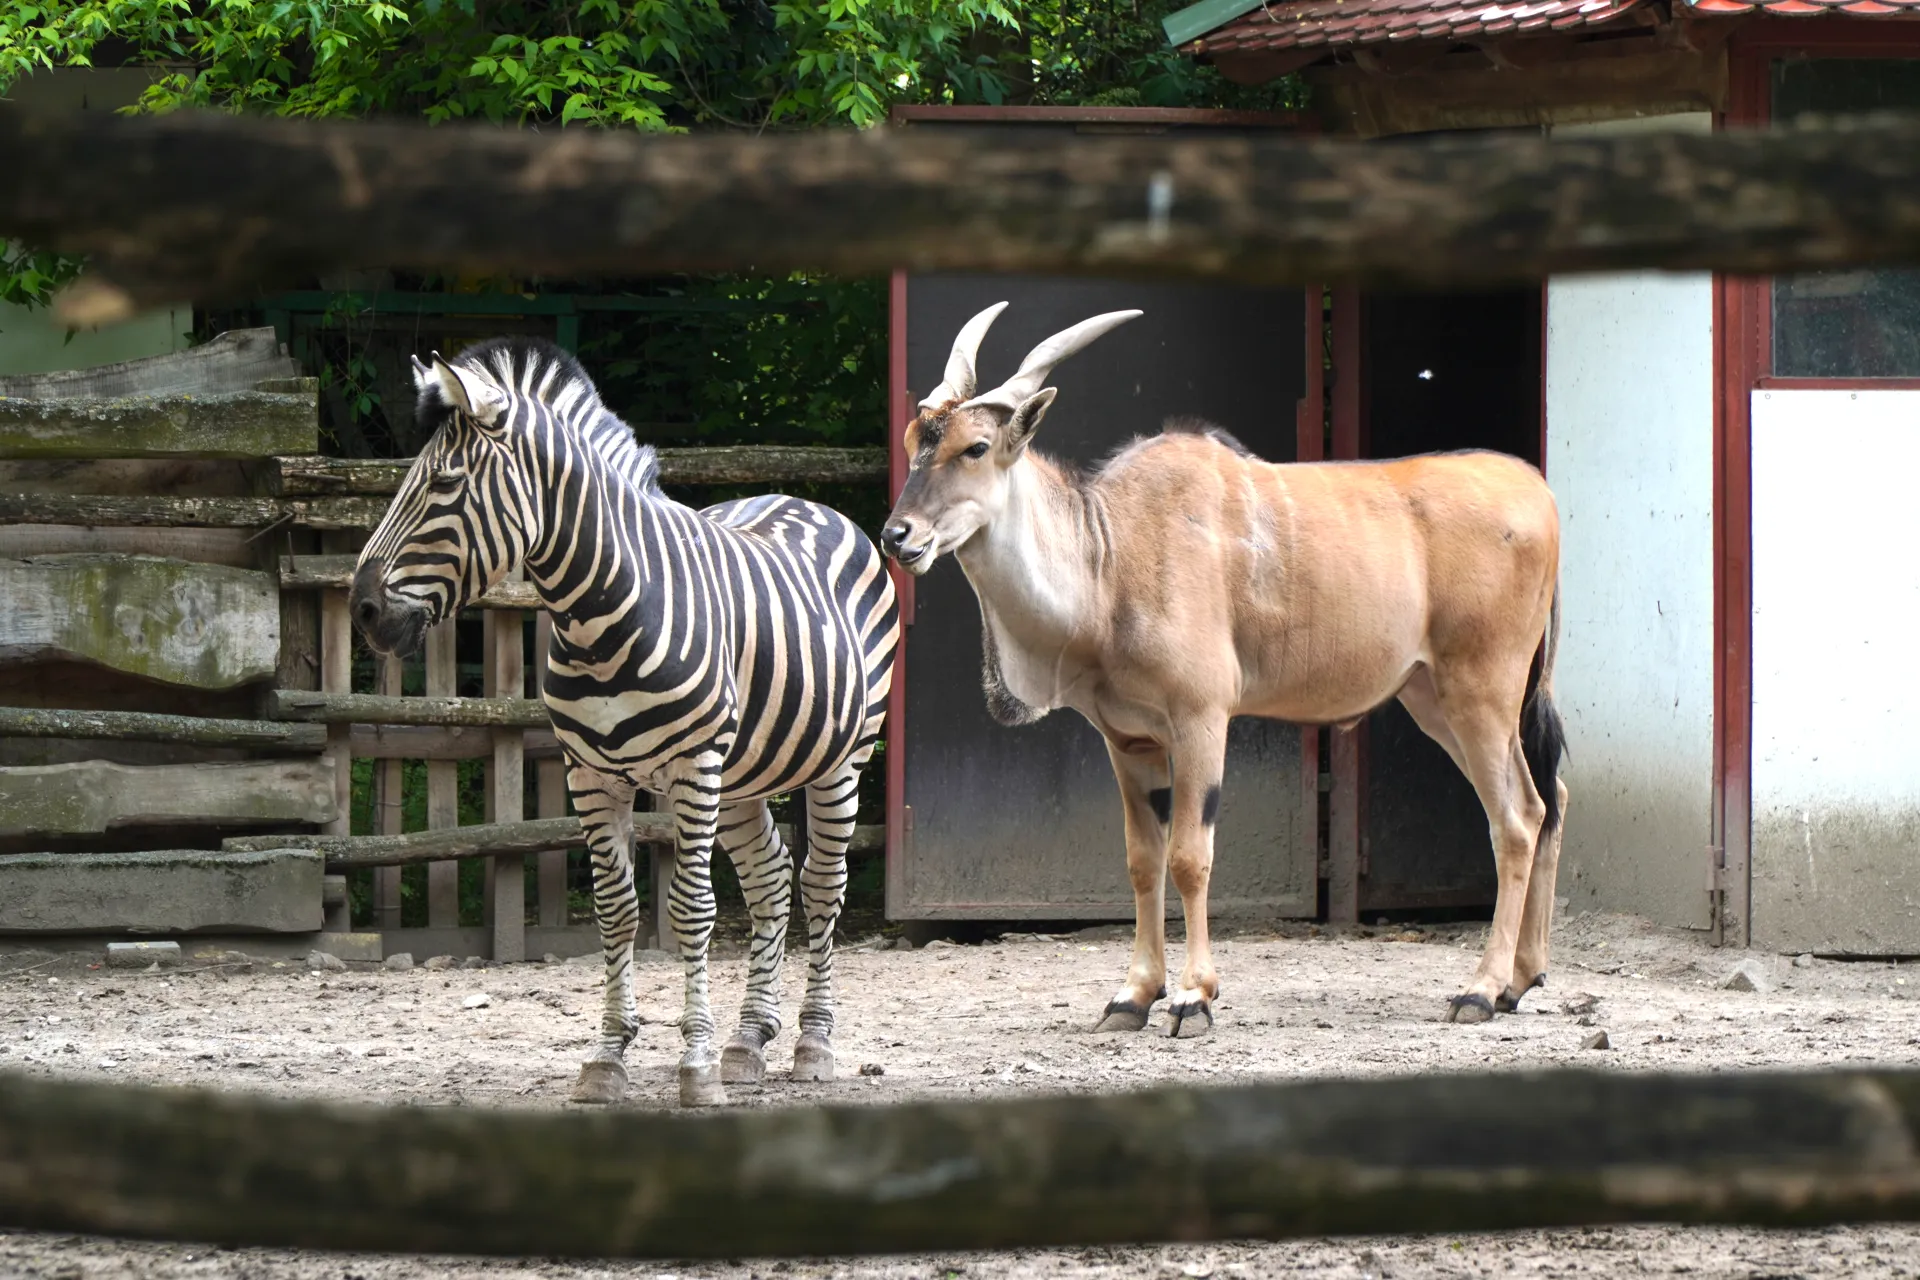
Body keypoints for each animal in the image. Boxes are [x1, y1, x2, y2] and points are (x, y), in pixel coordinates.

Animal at [350, 338, 899, 1108]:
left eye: (446, 485)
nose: (363, 610)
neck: (598, 615)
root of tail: (803, 499)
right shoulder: (590, 774)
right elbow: (617, 910)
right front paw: (609, 1058)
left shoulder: (693, 765)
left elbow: (691, 907)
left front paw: (694, 1066)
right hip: (744, 774)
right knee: (770, 878)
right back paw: (747, 1040)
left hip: (839, 761)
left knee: (822, 884)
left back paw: (812, 1043)